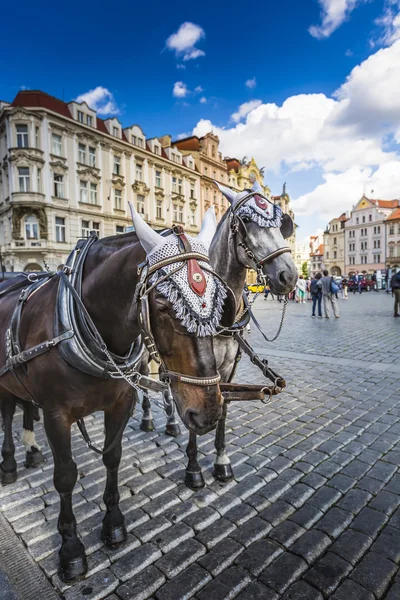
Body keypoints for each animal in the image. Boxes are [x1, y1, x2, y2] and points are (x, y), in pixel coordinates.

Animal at [0, 209, 234, 584]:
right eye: (164, 305)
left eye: (220, 301)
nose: (209, 412)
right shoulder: (55, 414)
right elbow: (65, 476)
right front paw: (71, 548)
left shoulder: (120, 404)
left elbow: (112, 458)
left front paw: (113, 523)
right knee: (8, 412)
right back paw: (9, 462)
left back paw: (31, 451)